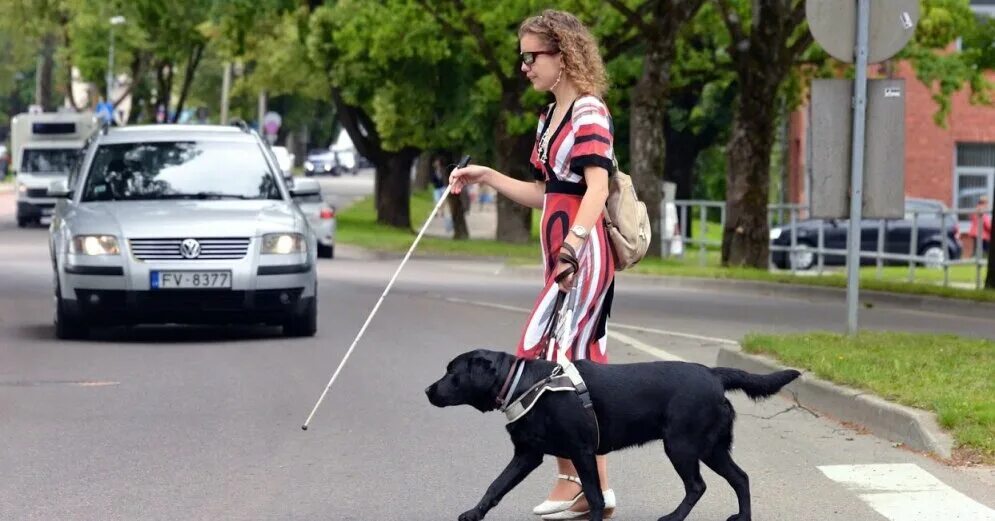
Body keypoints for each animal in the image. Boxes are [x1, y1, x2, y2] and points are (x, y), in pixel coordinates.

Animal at [428, 348, 800, 520]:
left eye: (451, 372)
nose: (428, 390)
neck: (524, 383)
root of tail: (713, 373)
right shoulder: (527, 454)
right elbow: (496, 485)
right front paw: (474, 513)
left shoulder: (581, 451)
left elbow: (595, 495)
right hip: (711, 447)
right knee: (741, 478)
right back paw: (743, 517)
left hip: (681, 445)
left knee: (698, 485)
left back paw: (673, 517)